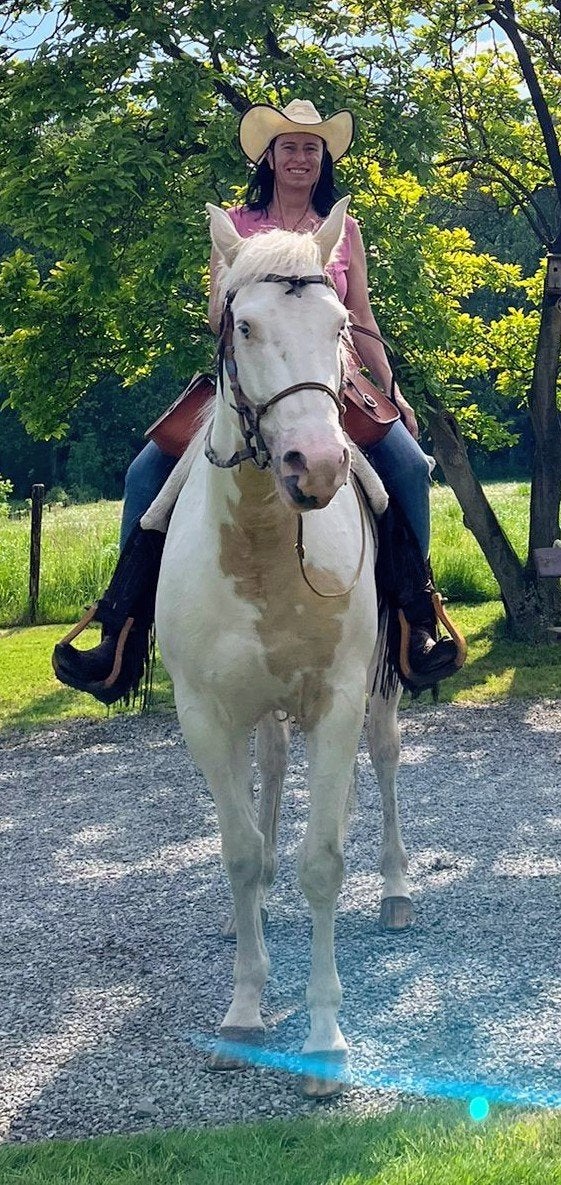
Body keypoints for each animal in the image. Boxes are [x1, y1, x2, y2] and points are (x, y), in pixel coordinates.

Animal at [155, 197, 411, 1098]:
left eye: (339, 326)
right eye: (244, 323)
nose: (319, 463)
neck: (264, 545)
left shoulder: (335, 701)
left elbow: (321, 860)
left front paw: (325, 1041)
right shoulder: (206, 715)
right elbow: (240, 855)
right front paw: (242, 1013)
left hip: (376, 693)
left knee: (384, 757)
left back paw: (398, 887)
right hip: (260, 711)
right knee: (268, 776)